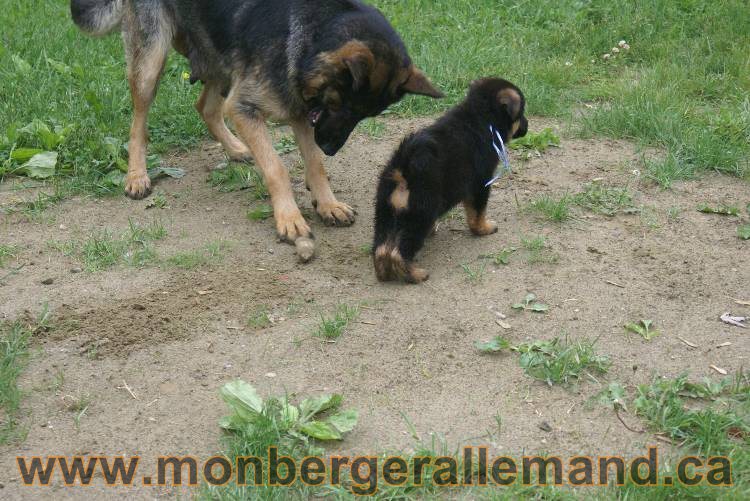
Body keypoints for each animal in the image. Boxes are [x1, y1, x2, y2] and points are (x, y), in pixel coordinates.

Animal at [70, 0, 440, 258]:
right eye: (342, 105)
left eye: (363, 115)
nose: (331, 147)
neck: (313, 34)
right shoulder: (248, 108)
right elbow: (276, 167)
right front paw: (289, 218)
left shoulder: (299, 112)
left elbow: (314, 164)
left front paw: (327, 203)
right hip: (152, 61)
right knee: (139, 122)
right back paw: (137, 175)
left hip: (219, 59)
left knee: (205, 107)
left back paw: (236, 149)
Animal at [374, 77, 528, 282]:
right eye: (522, 113)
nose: (527, 125)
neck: (480, 116)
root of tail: (403, 168)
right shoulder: (480, 184)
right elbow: (477, 213)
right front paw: (484, 229)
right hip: (420, 213)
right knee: (398, 251)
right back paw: (415, 274)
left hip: (386, 213)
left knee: (382, 248)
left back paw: (384, 273)